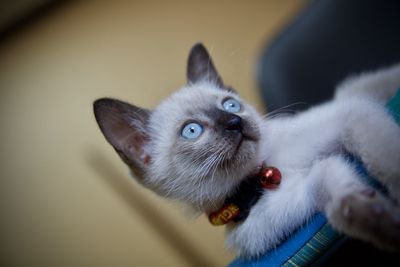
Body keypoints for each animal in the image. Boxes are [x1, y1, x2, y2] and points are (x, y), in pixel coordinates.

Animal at [94, 43, 400, 258]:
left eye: (231, 105)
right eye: (192, 131)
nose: (235, 122)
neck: (265, 173)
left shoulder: (351, 115)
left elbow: (386, 157)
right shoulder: (294, 202)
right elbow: (330, 181)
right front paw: (374, 220)